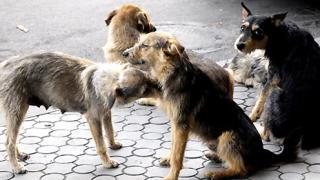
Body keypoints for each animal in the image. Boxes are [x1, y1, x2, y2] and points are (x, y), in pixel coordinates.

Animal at [0, 51, 159, 173]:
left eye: (146, 76)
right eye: (144, 88)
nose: (160, 83)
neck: (109, 79)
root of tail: (5, 65)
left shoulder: (106, 113)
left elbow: (110, 130)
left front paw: (113, 144)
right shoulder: (94, 119)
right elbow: (101, 145)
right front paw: (107, 162)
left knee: (11, 138)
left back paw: (18, 155)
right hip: (17, 111)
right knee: (9, 142)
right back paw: (16, 166)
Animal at [235, 2, 320, 160]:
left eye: (258, 32)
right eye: (242, 28)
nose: (239, 45)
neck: (279, 35)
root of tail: (303, 135)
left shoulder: (273, 78)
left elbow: (260, 101)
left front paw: (251, 117)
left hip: (276, 93)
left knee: (266, 135)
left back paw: (259, 128)